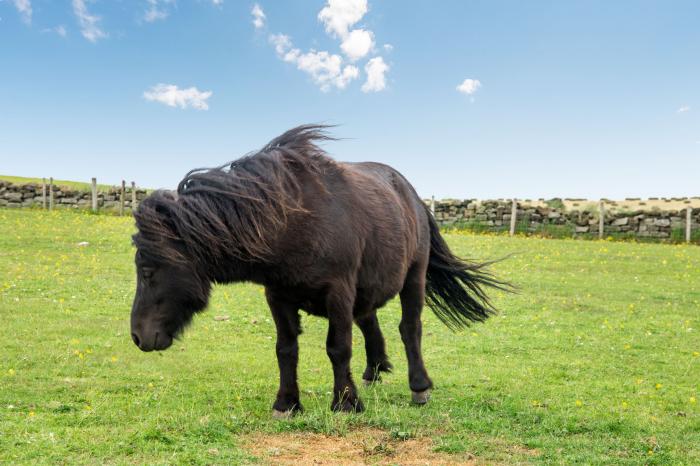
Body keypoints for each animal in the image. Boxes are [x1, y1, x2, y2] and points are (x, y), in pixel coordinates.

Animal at [129, 124, 506, 416]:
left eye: (147, 270)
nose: (137, 336)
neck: (292, 222)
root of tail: (411, 195)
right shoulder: (278, 296)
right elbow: (286, 349)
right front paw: (287, 404)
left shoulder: (338, 292)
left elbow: (338, 347)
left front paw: (346, 403)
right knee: (370, 322)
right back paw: (373, 371)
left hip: (413, 276)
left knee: (409, 328)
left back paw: (419, 386)